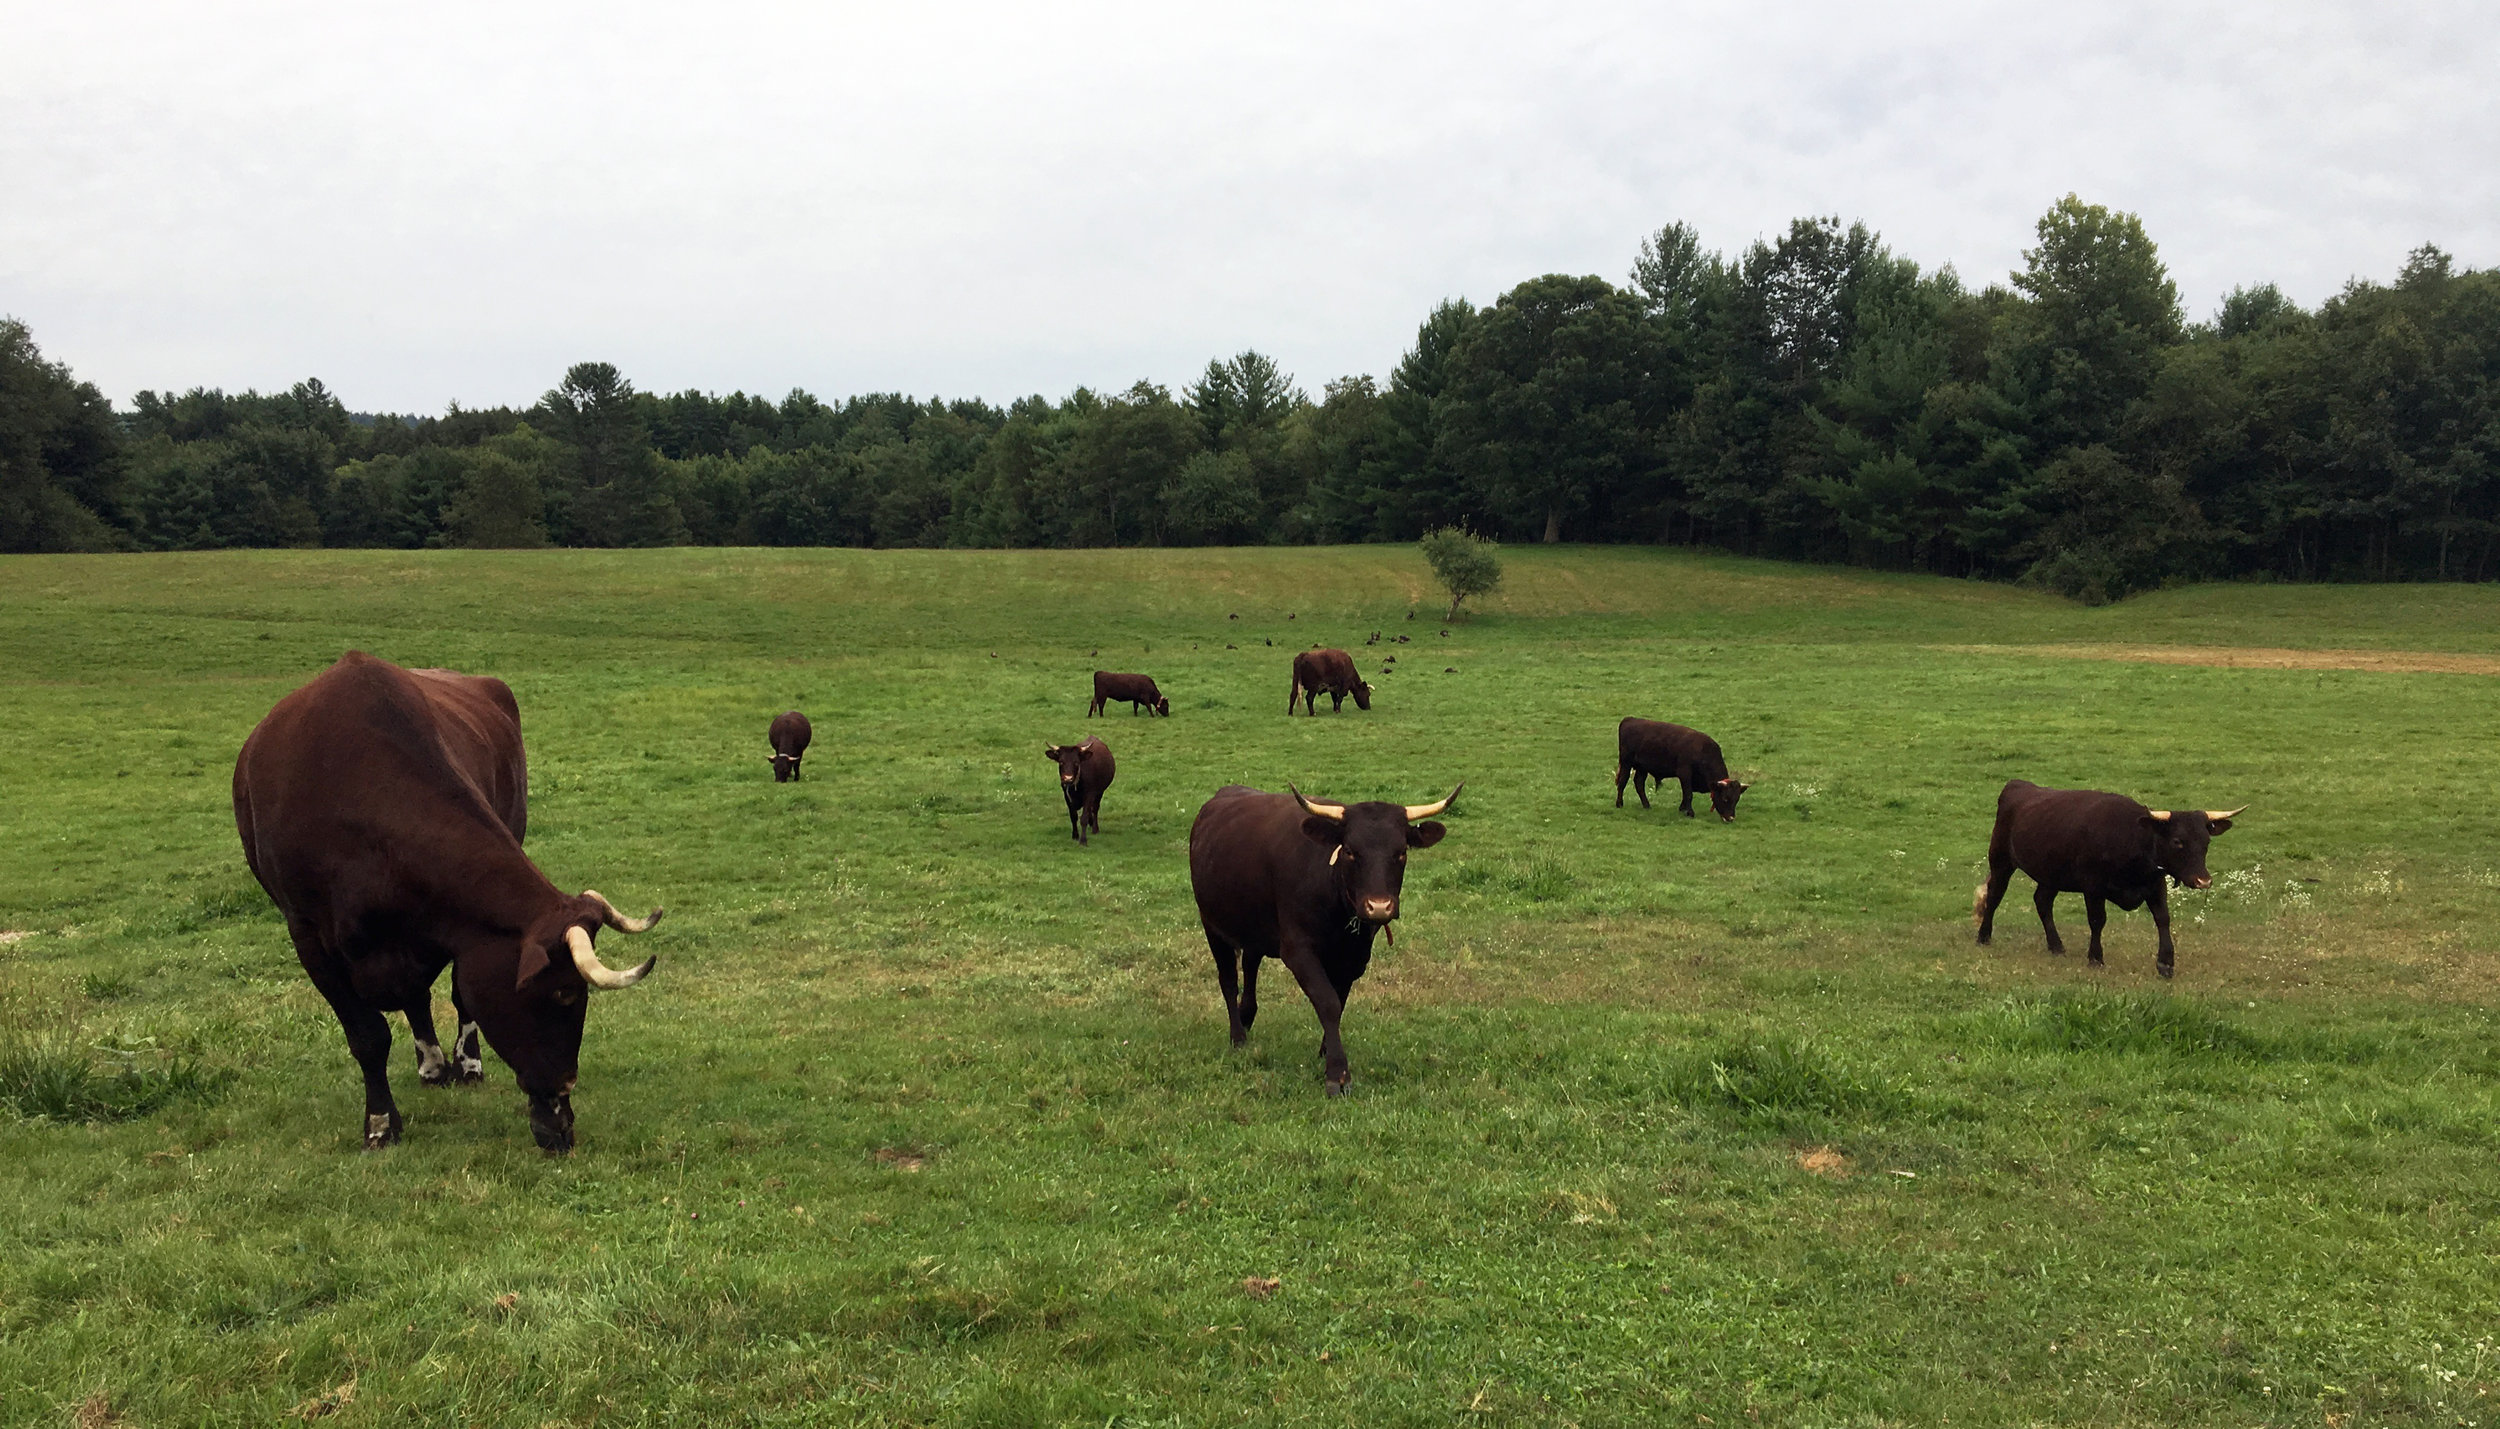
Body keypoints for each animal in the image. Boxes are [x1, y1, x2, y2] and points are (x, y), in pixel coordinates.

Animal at [232, 651, 664, 1153]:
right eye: (563, 991)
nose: (564, 1090)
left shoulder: (462, 934)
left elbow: (460, 993)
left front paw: (468, 1064)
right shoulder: (307, 936)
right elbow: (367, 1036)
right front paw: (380, 1123)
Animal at [1188, 781, 1458, 1094]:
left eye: (1401, 852)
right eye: (1350, 851)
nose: (1379, 906)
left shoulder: (1354, 958)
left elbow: (1339, 1002)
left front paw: (1326, 1050)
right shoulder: (1298, 951)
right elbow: (1327, 1001)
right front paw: (1337, 1073)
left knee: (1251, 964)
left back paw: (1247, 1015)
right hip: (1211, 924)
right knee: (1229, 980)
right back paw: (1238, 1035)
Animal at [1615, 718, 1747, 821]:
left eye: (1736, 799)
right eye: (1725, 799)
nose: (1730, 818)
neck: (1703, 752)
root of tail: (1629, 719)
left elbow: (1686, 793)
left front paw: (1682, 809)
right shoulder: (1685, 773)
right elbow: (1688, 793)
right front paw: (1690, 813)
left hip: (1642, 768)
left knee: (1639, 783)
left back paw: (1647, 805)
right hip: (1626, 763)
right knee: (1622, 782)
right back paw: (1619, 804)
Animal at [1973, 780, 2245, 979]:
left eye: (2206, 841)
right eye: (2178, 841)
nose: (2203, 881)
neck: (2131, 838)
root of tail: (2019, 785)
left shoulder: (2155, 884)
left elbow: (2163, 919)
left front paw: (2166, 963)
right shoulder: (2093, 887)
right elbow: (2097, 920)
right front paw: (2095, 957)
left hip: (2051, 874)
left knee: (2042, 901)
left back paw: (2056, 945)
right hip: (2001, 861)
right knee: (1995, 895)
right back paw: (1984, 936)